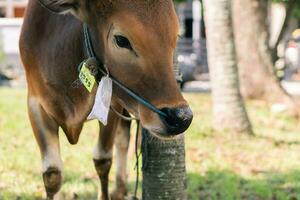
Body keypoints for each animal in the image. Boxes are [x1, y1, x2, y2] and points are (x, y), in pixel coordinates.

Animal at [19, 0, 192, 199]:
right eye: (121, 40)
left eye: (175, 36)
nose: (181, 117)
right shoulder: (35, 104)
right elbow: (52, 173)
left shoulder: (111, 105)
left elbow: (102, 160)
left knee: (123, 140)